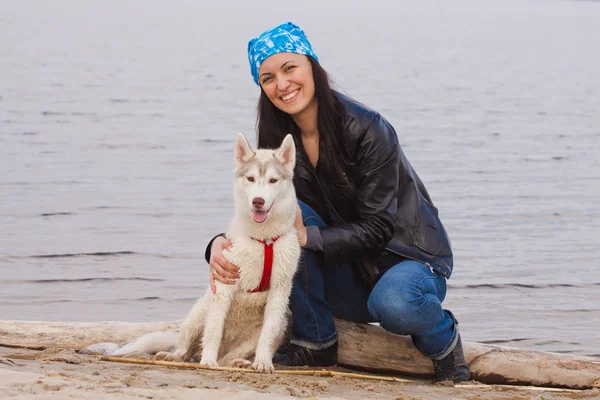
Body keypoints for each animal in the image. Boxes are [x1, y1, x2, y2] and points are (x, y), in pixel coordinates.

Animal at [108, 133, 300, 374]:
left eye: (273, 181)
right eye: (250, 178)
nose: (258, 201)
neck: (264, 241)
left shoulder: (279, 290)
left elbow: (268, 332)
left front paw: (263, 362)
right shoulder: (225, 285)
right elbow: (214, 330)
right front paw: (208, 361)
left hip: (279, 326)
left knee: (229, 356)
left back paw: (238, 362)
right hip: (198, 314)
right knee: (185, 350)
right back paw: (176, 356)